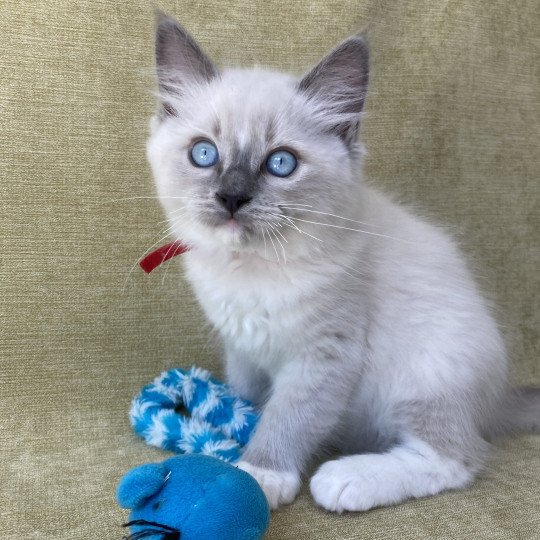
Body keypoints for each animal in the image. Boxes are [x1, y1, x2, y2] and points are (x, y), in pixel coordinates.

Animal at [146, 12, 536, 510]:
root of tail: (495, 399)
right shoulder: (243, 350)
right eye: (204, 154)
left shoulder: (325, 355)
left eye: (281, 164)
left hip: (424, 371)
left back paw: (346, 479)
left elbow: (288, 418)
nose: (232, 197)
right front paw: (232, 424)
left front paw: (259, 474)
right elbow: (247, 397)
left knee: (456, 458)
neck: (252, 270)